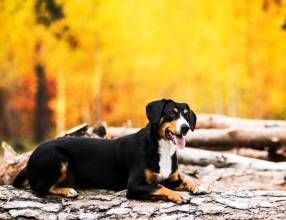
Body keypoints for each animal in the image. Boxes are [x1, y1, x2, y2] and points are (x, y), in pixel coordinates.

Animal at [13, 99, 202, 204]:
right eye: (171, 113)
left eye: (186, 115)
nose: (185, 128)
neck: (161, 147)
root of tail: (31, 157)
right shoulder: (134, 185)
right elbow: (159, 186)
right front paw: (179, 195)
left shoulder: (173, 179)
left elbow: (185, 180)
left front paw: (196, 186)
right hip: (57, 158)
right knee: (39, 187)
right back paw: (67, 191)